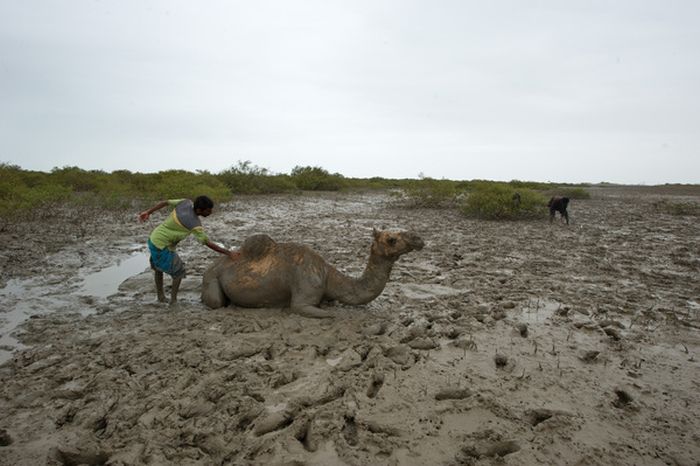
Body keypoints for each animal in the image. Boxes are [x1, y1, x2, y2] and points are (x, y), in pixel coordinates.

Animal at [200, 228, 424, 318]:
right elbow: (325, 313)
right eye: (391, 239)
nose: (418, 238)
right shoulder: (304, 297)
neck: (327, 275)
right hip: (211, 277)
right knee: (216, 302)